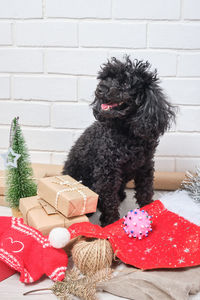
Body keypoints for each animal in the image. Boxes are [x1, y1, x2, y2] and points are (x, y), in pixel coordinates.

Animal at [63, 56, 176, 226]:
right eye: (105, 78)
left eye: (124, 83)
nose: (100, 89)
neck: (127, 134)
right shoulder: (107, 172)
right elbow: (110, 201)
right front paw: (110, 223)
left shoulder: (145, 165)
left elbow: (145, 191)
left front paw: (150, 210)